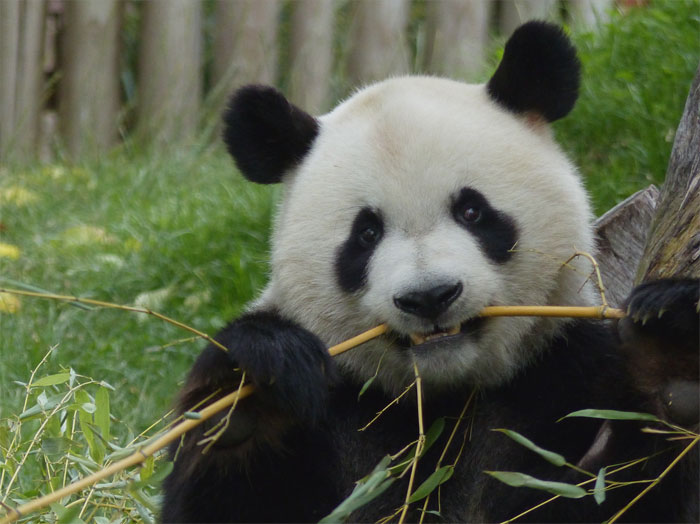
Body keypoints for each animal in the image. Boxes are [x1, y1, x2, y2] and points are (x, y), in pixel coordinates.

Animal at [161, 22, 699, 523]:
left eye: (472, 211)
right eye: (366, 234)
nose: (429, 297)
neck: (440, 398)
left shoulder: (567, 369)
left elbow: (618, 488)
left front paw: (673, 356)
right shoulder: (335, 410)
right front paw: (247, 399)